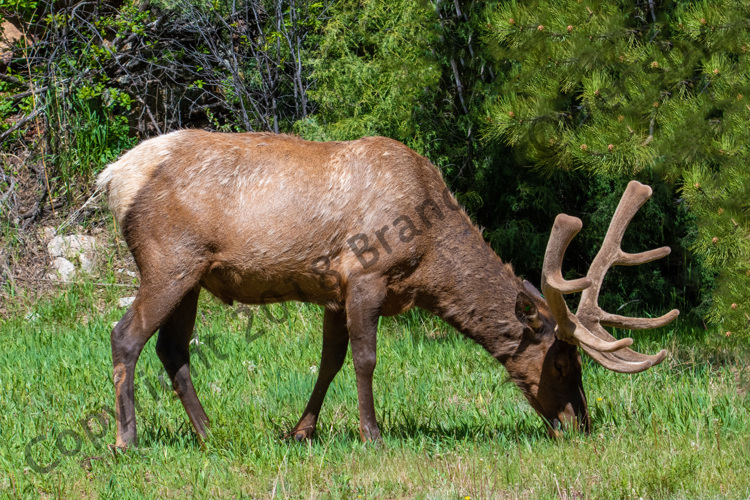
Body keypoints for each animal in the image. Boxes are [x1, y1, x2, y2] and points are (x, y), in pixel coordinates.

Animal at [97, 128, 680, 446]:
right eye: (561, 363)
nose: (581, 425)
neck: (427, 265)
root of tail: (113, 177)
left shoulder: (332, 290)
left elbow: (329, 360)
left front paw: (302, 431)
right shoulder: (364, 275)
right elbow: (365, 358)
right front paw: (371, 433)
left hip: (194, 275)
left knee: (173, 349)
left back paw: (208, 432)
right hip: (169, 259)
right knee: (126, 336)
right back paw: (128, 439)